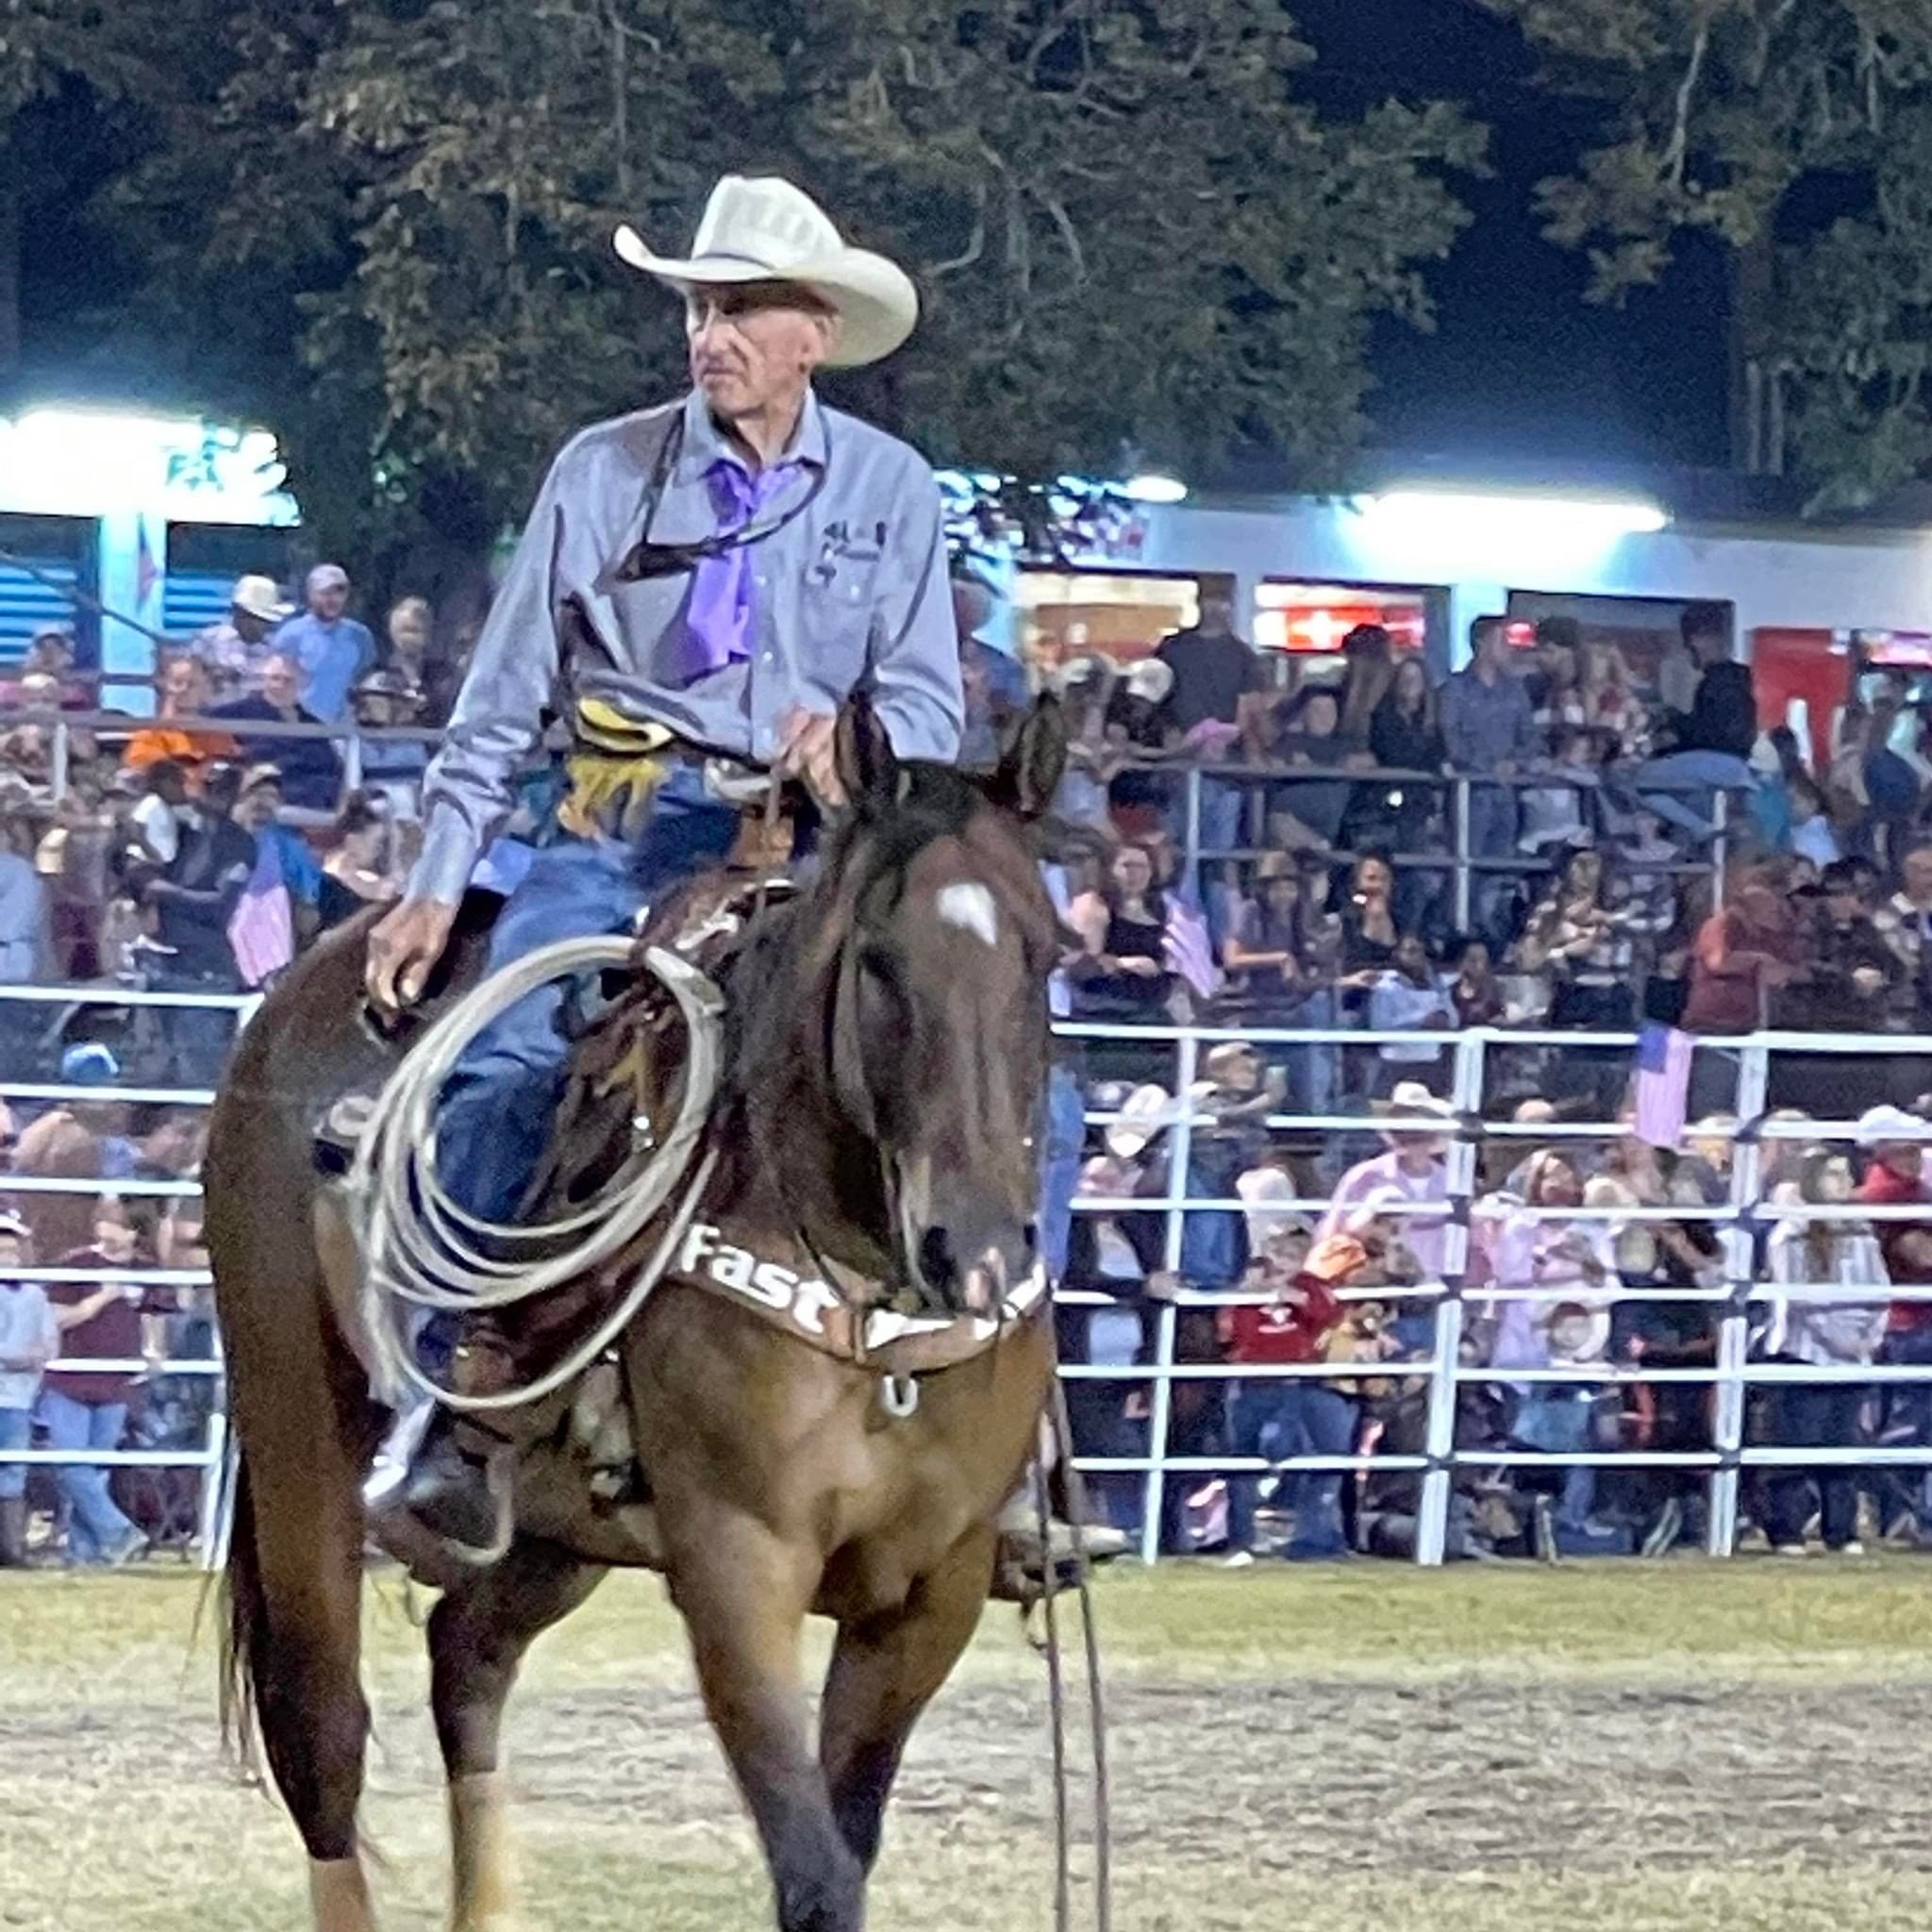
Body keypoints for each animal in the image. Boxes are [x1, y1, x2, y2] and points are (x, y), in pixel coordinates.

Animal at [208, 707, 1074, 1932]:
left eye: (1044, 954)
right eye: (874, 960)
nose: (977, 1250)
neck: (868, 1316)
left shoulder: (932, 1590)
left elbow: (846, 1841)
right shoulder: (736, 1566)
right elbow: (814, 1873)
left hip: (553, 1530)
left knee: (465, 1659)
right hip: (295, 1438)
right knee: (321, 1733)